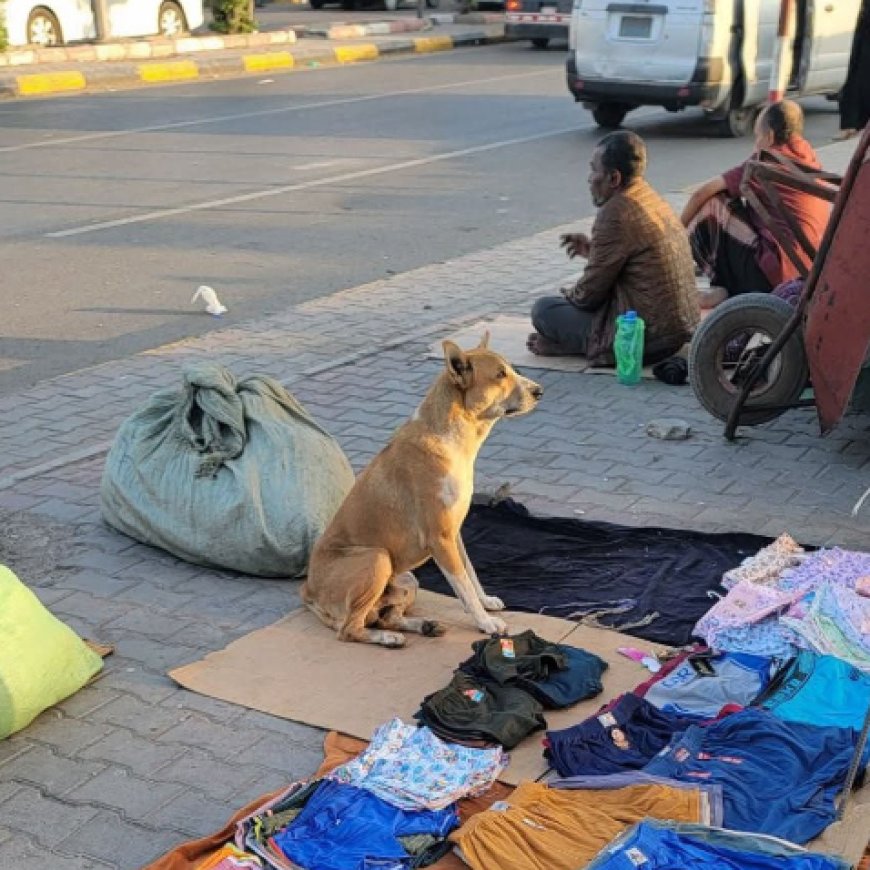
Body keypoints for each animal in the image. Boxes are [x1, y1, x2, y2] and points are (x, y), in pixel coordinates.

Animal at [304, 334, 540, 648]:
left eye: (512, 369)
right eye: (500, 375)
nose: (539, 391)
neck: (454, 437)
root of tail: (307, 589)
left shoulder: (455, 533)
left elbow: (470, 573)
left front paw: (486, 602)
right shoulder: (440, 538)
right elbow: (462, 585)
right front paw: (485, 622)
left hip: (407, 579)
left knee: (385, 615)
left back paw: (423, 625)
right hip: (378, 558)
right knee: (350, 629)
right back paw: (388, 638)